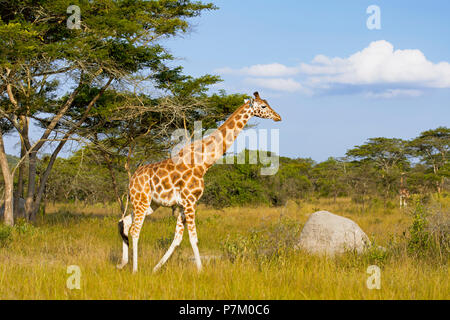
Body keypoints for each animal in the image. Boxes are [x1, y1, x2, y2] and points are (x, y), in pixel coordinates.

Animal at [116, 90, 282, 272]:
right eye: (263, 106)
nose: (278, 117)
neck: (203, 163)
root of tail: (132, 180)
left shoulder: (184, 204)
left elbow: (177, 239)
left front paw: (156, 269)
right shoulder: (190, 201)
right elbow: (193, 238)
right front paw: (201, 271)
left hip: (151, 204)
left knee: (124, 222)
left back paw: (122, 263)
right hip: (141, 200)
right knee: (135, 230)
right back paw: (134, 269)